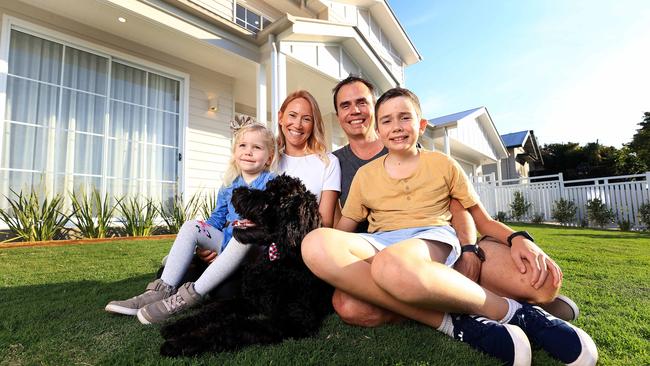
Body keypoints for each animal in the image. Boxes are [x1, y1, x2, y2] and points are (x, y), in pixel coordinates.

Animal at [156, 176, 330, 356]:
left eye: (270, 196)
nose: (236, 190)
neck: (280, 260)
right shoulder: (248, 300)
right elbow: (214, 309)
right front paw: (178, 325)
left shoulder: (294, 321)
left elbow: (235, 326)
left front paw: (183, 342)